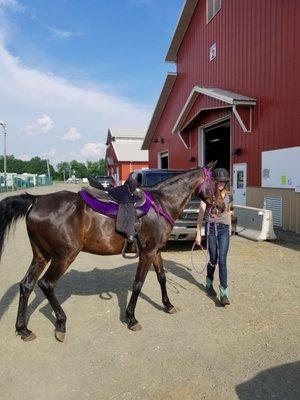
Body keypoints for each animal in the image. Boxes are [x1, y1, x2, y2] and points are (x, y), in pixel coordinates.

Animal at [0, 164, 216, 342]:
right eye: (216, 182)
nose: (219, 205)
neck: (161, 203)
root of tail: (37, 200)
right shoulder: (147, 253)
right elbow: (138, 284)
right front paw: (131, 318)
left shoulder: (155, 250)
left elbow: (161, 277)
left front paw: (168, 305)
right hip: (64, 256)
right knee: (46, 284)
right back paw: (61, 324)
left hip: (41, 255)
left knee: (26, 285)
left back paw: (23, 329)